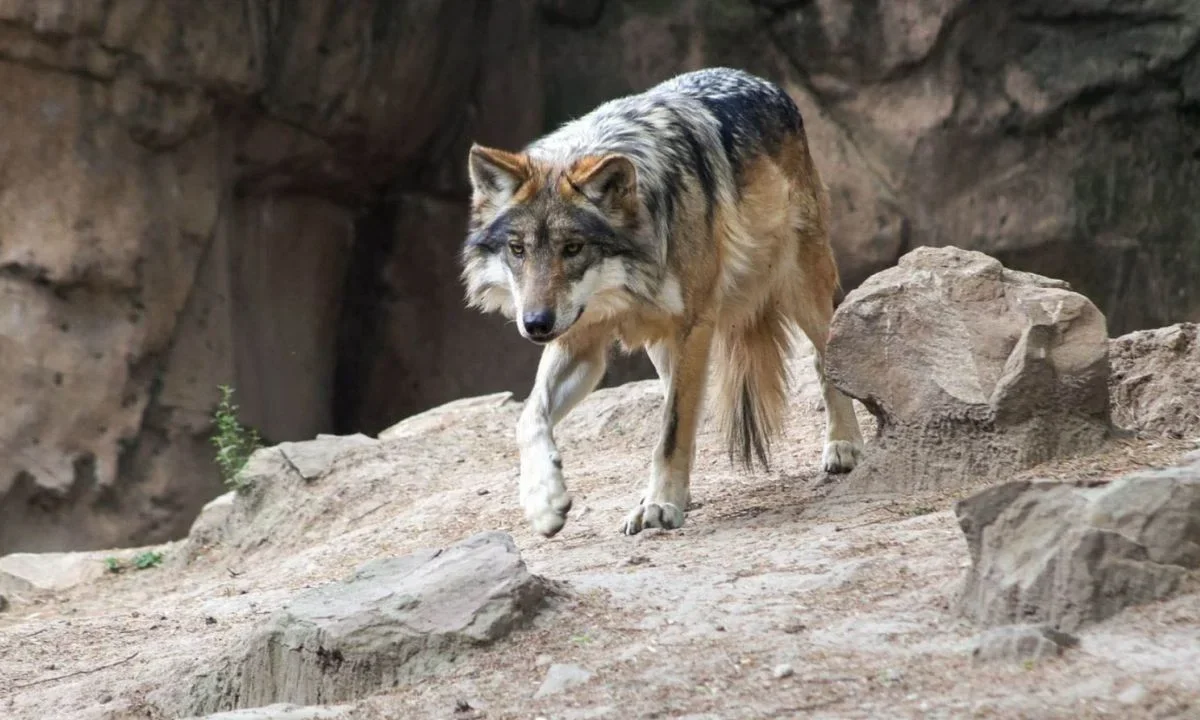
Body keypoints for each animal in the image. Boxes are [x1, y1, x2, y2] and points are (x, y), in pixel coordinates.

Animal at [460, 67, 865, 538]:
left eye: (573, 248)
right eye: (518, 249)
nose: (535, 323)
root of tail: (761, 80)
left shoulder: (694, 327)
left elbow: (671, 430)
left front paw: (659, 506)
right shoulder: (581, 340)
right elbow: (529, 419)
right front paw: (544, 501)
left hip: (800, 287)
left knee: (823, 357)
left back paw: (843, 445)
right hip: (661, 345)